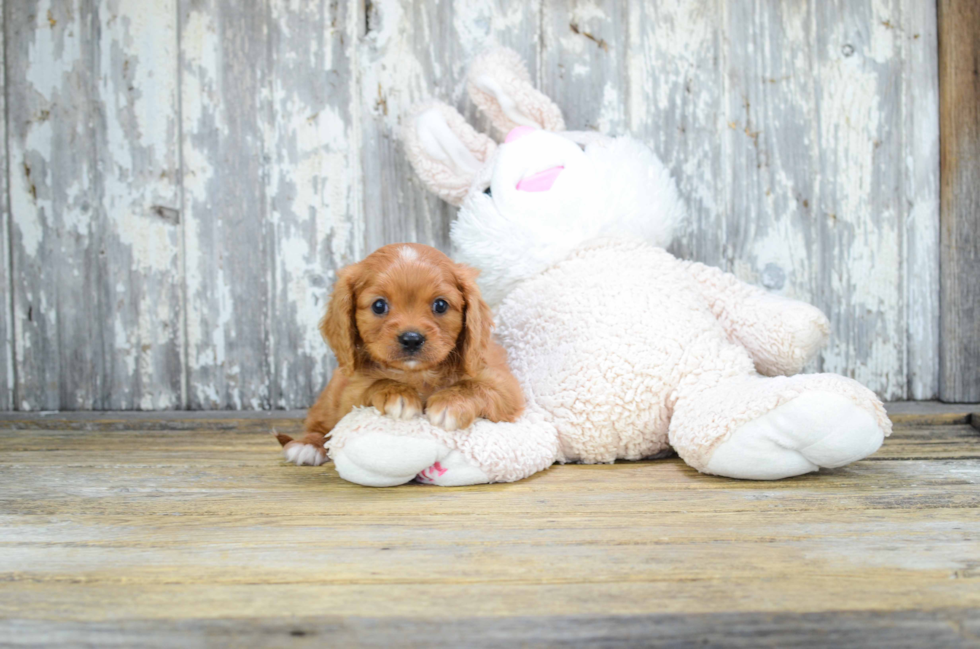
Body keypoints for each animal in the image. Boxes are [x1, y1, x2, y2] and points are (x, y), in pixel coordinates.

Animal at [276, 240, 524, 464]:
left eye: (441, 305)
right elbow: (376, 384)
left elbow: (475, 386)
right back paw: (307, 445)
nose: (411, 339)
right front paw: (397, 394)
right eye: (379, 306)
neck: (416, 375)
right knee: (319, 424)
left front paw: (451, 403)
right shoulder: (351, 396)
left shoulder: (505, 388)